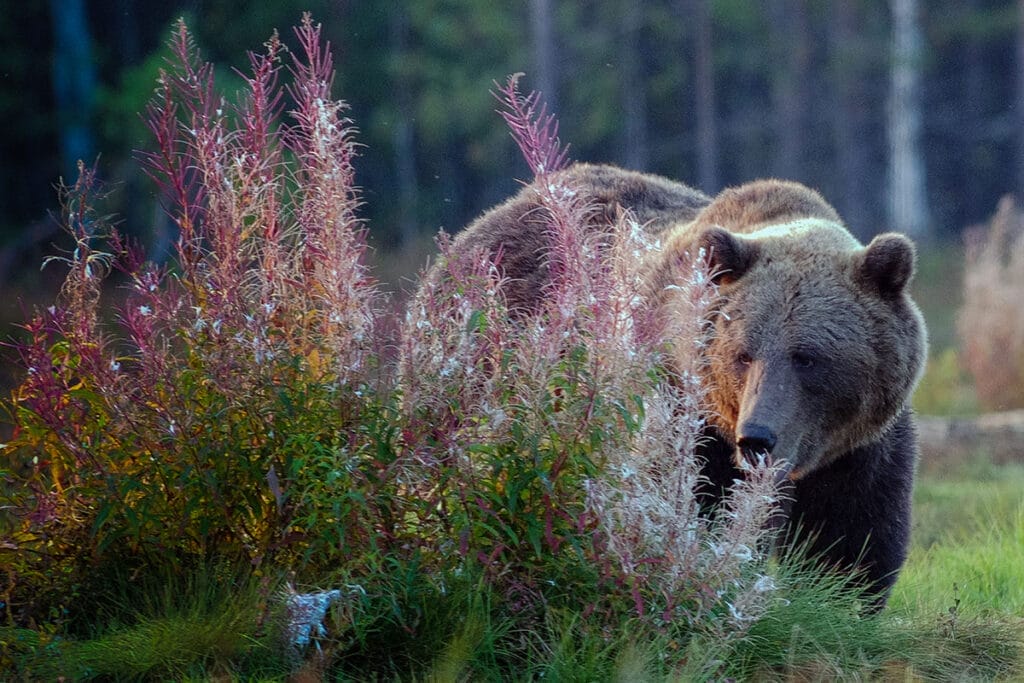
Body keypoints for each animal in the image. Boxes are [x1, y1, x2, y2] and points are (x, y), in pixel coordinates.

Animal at [428, 162, 925, 606]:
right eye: (743, 354)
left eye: (806, 356)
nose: (757, 438)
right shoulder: (687, 416)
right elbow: (691, 509)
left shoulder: (859, 450)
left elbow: (852, 541)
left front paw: (844, 596)